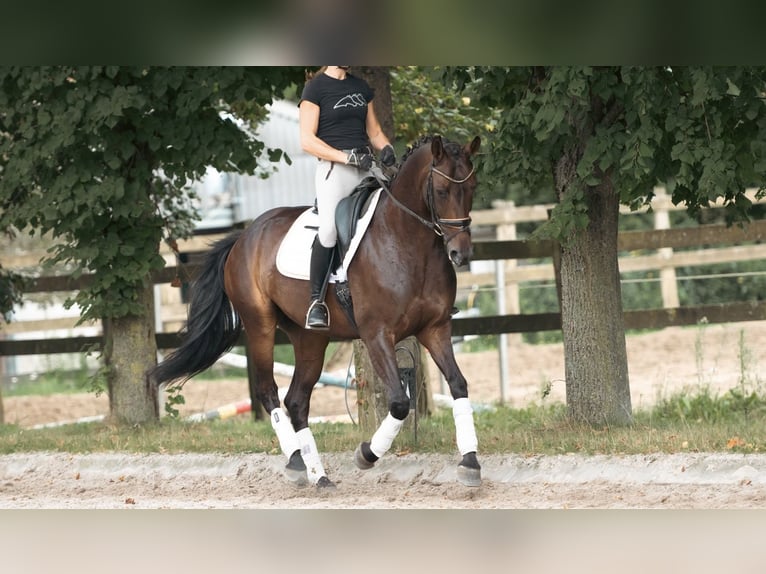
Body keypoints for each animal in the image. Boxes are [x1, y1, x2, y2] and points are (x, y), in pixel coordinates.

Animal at [149, 134, 483, 488]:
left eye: (473, 186)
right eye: (442, 191)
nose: (461, 254)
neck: (407, 242)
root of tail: (244, 235)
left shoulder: (435, 329)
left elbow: (458, 384)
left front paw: (470, 462)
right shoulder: (377, 335)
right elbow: (399, 402)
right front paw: (366, 454)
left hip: (310, 338)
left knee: (297, 400)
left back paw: (318, 474)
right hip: (260, 325)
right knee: (269, 391)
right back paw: (296, 462)